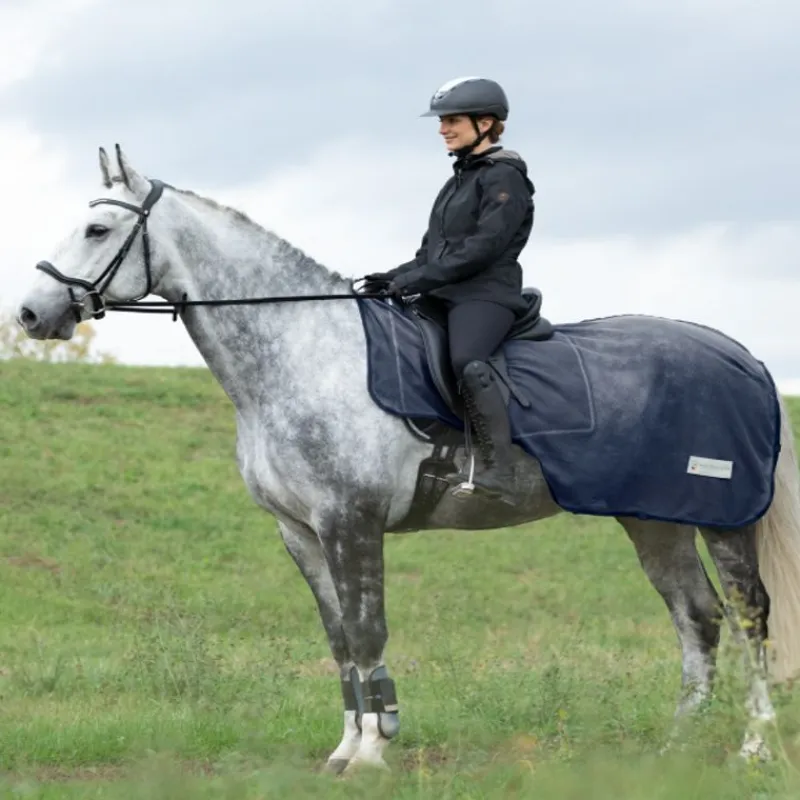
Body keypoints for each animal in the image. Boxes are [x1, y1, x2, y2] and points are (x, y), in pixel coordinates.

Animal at [14, 144, 800, 773]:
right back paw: (676, 747)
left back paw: (754, 748)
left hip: (723, 517)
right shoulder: (300, 532)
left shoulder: (350, 521)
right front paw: (344, 750)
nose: (29, 314)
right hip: (653, 519)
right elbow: (338, 639)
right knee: (696, 617)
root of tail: (742, 357)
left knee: (748, 615)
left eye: (96, 229)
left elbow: (367, 631)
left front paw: (372, 752)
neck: (303, 351)